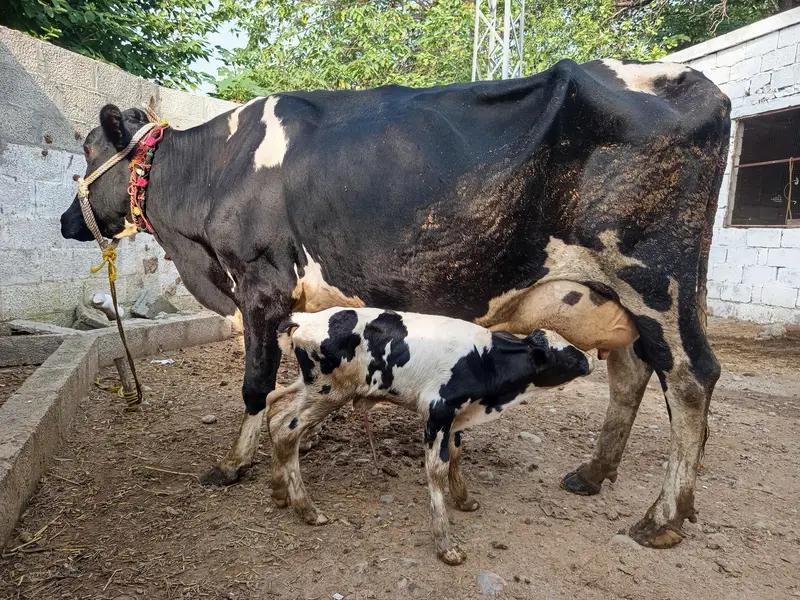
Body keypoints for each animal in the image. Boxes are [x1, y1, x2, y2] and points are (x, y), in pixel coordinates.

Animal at [267, 307, 593, 564]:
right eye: (565, 356)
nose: (589, 362)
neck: (485, 361)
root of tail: (307, 317)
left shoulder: (456, 417)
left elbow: (456, 455)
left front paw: (464, 499)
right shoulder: (438, 411)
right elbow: (436, 469)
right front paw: (446, 545)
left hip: (310, 387)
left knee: (274, 407)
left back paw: (280, 491)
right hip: (329, 392)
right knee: (286, 430)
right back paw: (307, 510)